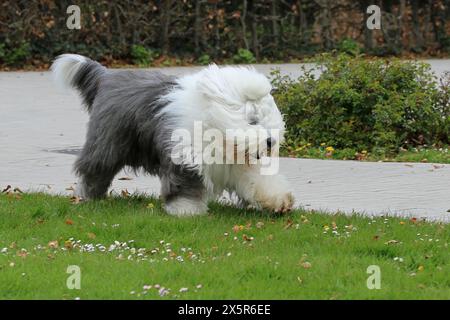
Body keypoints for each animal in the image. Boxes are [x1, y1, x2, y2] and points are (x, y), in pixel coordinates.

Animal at [51, 53, 294, 216]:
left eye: (269, 119)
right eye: (252, 120)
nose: (271, 141)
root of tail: (107, 76)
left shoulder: (238, 165)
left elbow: (258, 180)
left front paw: (279, 200)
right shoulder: (185, 155)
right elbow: (184, 185)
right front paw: (186, 210)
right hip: (107, 143)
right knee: (95, 170)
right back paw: (87, 196)